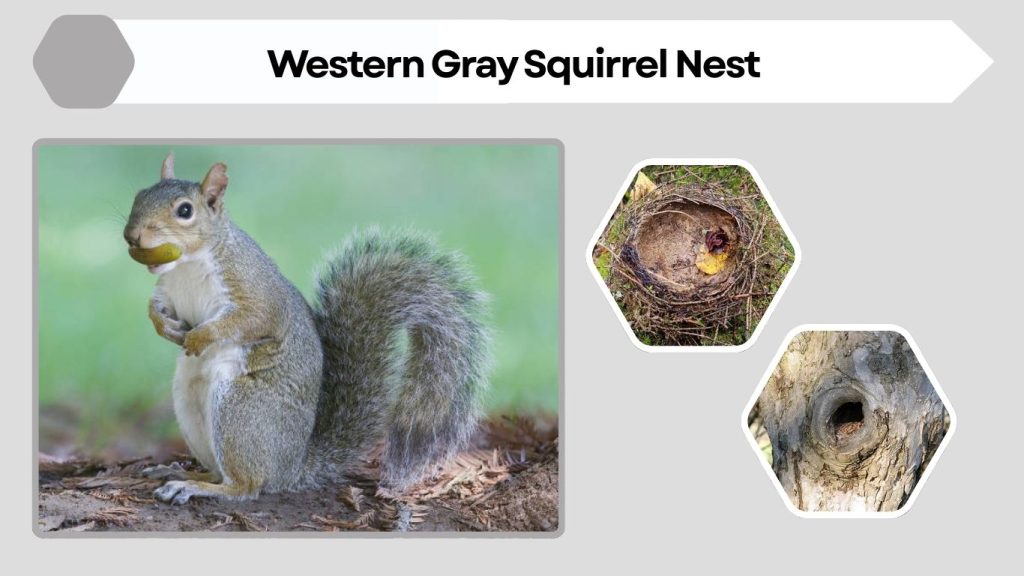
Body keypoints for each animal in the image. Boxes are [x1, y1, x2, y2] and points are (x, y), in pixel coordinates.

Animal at [122, 153, 491, 504]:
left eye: (185, 210)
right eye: (139, 195)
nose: (132, 236)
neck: (186, 264)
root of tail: (292, 467)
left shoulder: (252, 289)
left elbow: (249, 319)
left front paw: (201, 336)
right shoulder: (168, 291)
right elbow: (156, 308)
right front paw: (164, 326)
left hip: (240, 409)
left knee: (246, 486)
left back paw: (197, 487)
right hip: (189, 405)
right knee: (220, 470)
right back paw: (180, 473)